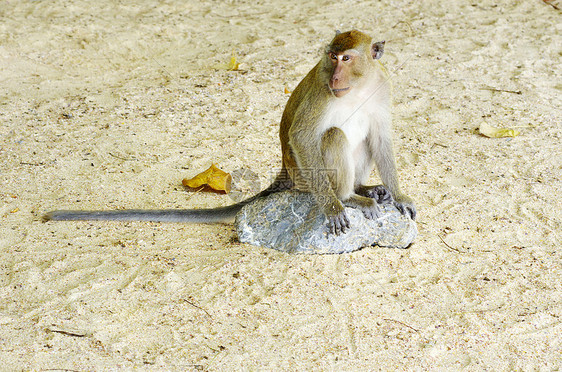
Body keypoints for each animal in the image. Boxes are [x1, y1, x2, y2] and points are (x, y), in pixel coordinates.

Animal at [44, 31, 416, 235]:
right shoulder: (321, 90)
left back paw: (364, 189)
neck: (357, 87)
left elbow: (381, 136)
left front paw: (399, 196)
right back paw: (347, 196)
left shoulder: (383, 86)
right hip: (304, 175)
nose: (337, 76)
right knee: (333, 135)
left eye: (347, 58)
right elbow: (303, 135)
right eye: (332, 57)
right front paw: (335, 207)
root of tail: (285, 173)